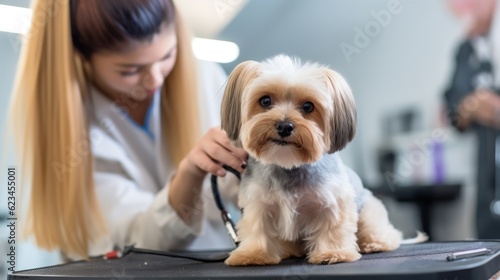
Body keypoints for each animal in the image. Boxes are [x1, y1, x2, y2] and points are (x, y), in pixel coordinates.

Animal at [221, 55, 424, 266]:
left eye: (308, 106)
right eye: (265, 101)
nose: (285, 126)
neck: (289, 166)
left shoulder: (333, 200)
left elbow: (333, 226)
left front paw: (333, 253)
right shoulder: (257, 202)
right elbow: (257, 228)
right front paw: (253, 254)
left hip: (370, 210)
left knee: (383, 232)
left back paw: (375, 243)